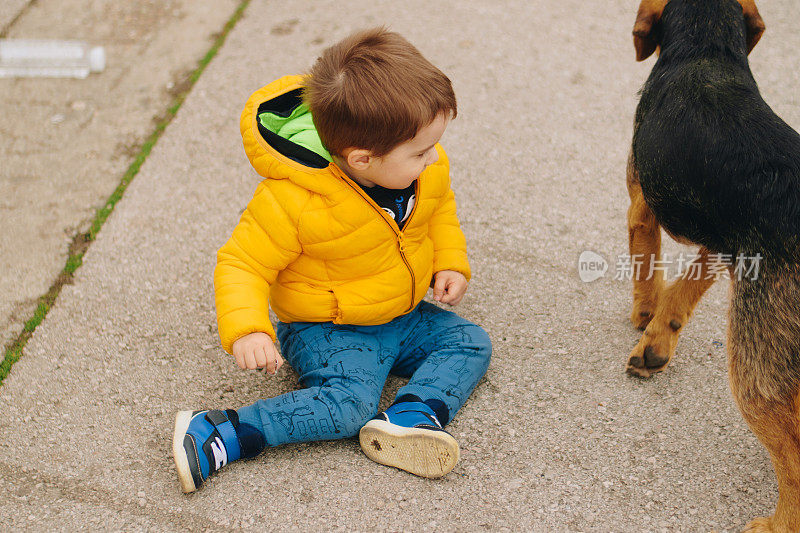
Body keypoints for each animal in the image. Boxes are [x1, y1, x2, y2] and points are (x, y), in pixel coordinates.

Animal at [624, 0, 800, 528]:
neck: (709, 52)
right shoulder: (727, 242)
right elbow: (683, 289)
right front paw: (657, 340)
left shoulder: (641, 206)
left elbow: (649, 274)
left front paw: (644, 318)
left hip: (758, 376)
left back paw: (774, 525)